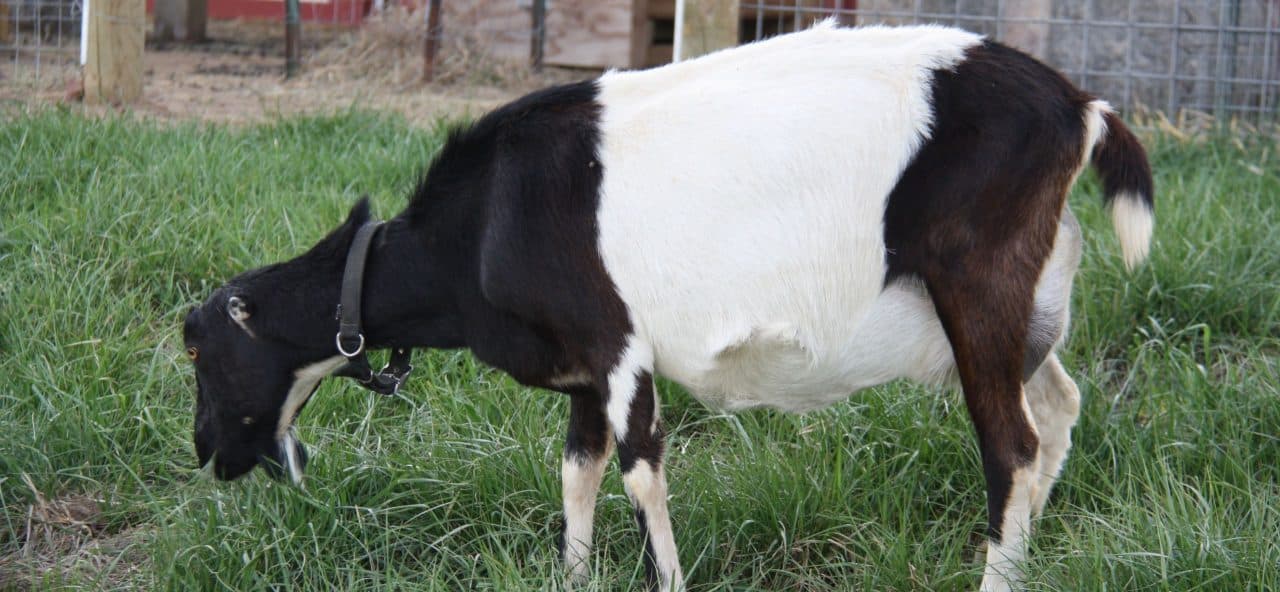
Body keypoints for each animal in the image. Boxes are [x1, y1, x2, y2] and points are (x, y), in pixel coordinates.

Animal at [182, 22, 1154, 592]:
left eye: (195, 347)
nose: (204, 451)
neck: (485, 221)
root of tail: (1080, 105)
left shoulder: (619, 347)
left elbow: (640, 472)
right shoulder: (581, 365)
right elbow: (576, 469)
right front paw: (572, 578)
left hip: (977, 288)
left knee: (1011, 445)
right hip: (1029, 305)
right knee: (1057, 409)